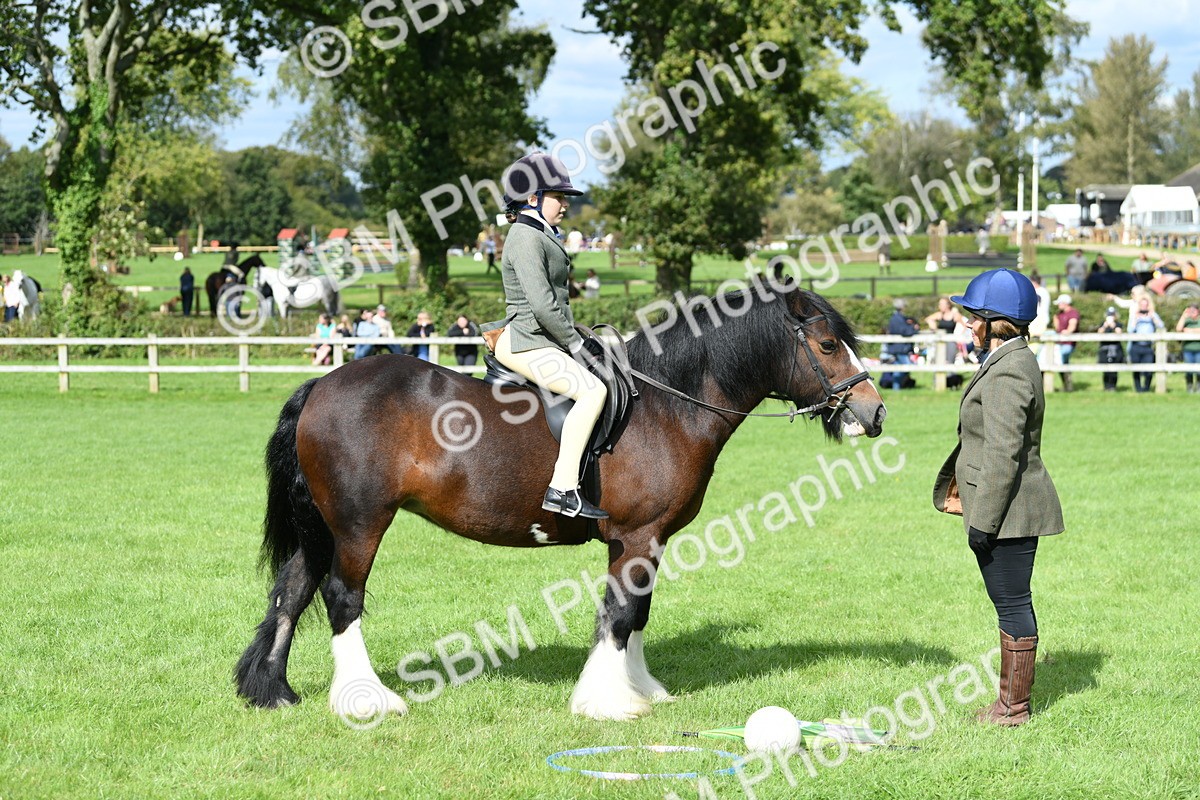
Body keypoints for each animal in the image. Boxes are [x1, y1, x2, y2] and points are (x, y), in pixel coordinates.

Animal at [234, 279, 887, 722]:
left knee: (293, 590)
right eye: (828, 344)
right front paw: (607, 701)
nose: (874, 412)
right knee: (342, 597)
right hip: (359, 524)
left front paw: (640, 689)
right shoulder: (636, 537)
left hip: (323, 525)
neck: (667, 406)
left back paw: (274, 692)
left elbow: (638, 613)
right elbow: (619, 615)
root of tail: (323, 384)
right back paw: (366, 700)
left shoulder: (649, 541)